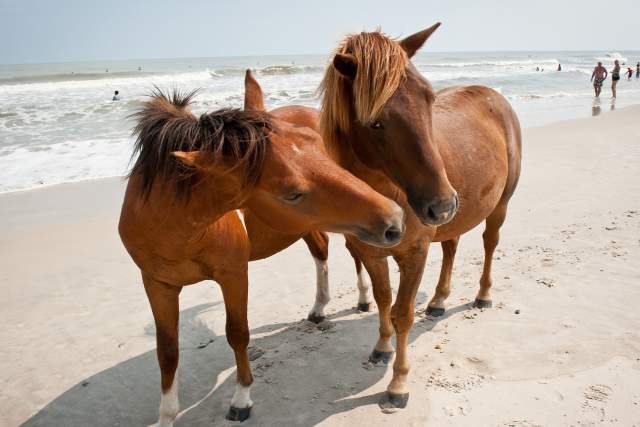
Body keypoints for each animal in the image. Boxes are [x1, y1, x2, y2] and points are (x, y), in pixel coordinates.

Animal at [118, 87, 405, 425]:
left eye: (316, 144)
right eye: (292, 193)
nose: (394, 217)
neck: (173, 226)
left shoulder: (234, 273)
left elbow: (238, 334)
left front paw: (241, 399)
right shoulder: (157, 284)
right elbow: (168, 352)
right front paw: (166, 416)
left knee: (353, 254)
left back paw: (361, 298)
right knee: (322, 249)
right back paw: (320, 307)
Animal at [314, 22, 522, 408]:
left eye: (429, 98)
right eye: (375, 123)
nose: (442, 205)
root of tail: (493, 96)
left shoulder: (414, 253)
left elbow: (403, 313)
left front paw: (398, 383)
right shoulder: (370, 253)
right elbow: (383, 301)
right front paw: (382, 347)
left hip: (499, 205)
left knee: (489, 243)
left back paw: (483, 295)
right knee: (451, 247)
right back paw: (439, 300)